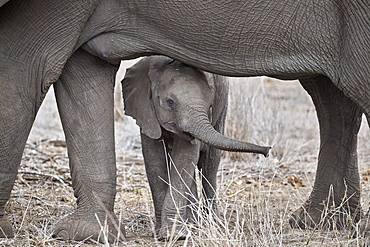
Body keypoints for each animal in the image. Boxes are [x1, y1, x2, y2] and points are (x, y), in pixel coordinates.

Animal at [121, 55, 268, 239]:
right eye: (170, 102)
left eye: (209, 106)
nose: (267, 151)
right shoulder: (145, 111)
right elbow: (153, 159)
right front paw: (163, 233)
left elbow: (185, 157)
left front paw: (174, 235)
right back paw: (192, 222)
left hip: (223, 107)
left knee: (209, 163)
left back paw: (210, 222)